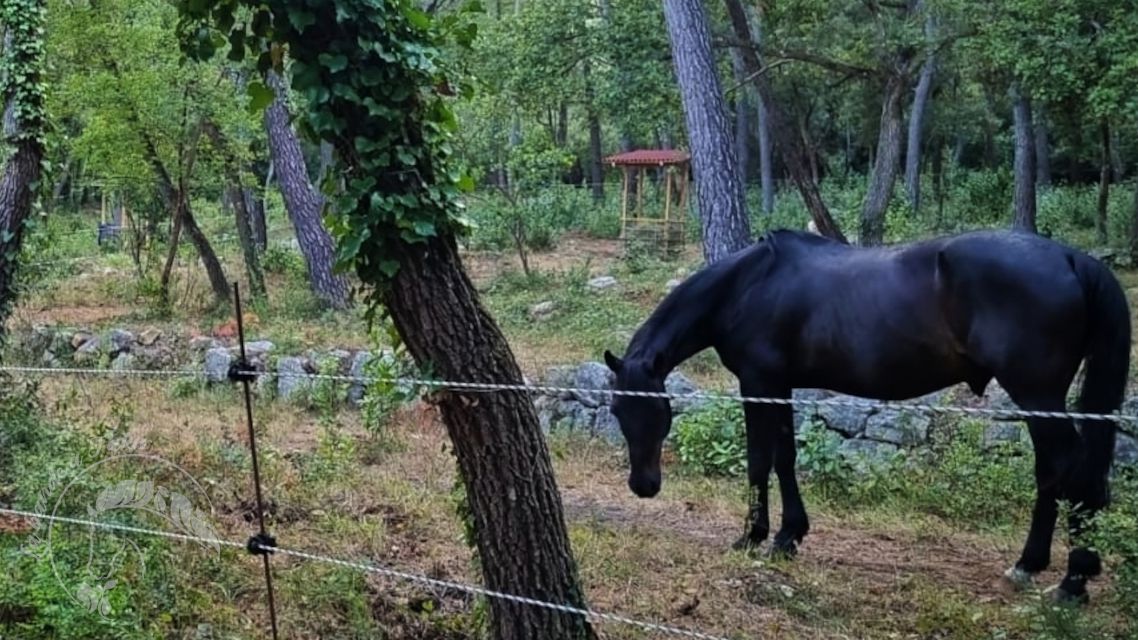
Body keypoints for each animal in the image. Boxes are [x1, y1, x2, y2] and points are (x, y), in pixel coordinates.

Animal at [605, 227, 1128, 601]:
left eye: (660, 412)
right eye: (617, 410)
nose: (643, 485)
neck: (748, 285)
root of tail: (1072, 258)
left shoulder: (759, 385)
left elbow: (759, 460)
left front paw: (753, 536)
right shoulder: (780, 388)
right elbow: (785, 459)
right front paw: (789, 536)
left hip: (1037, 395)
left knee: (1066, 469)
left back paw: (1068, 579)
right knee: (1058, 472)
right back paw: (1043, 568)